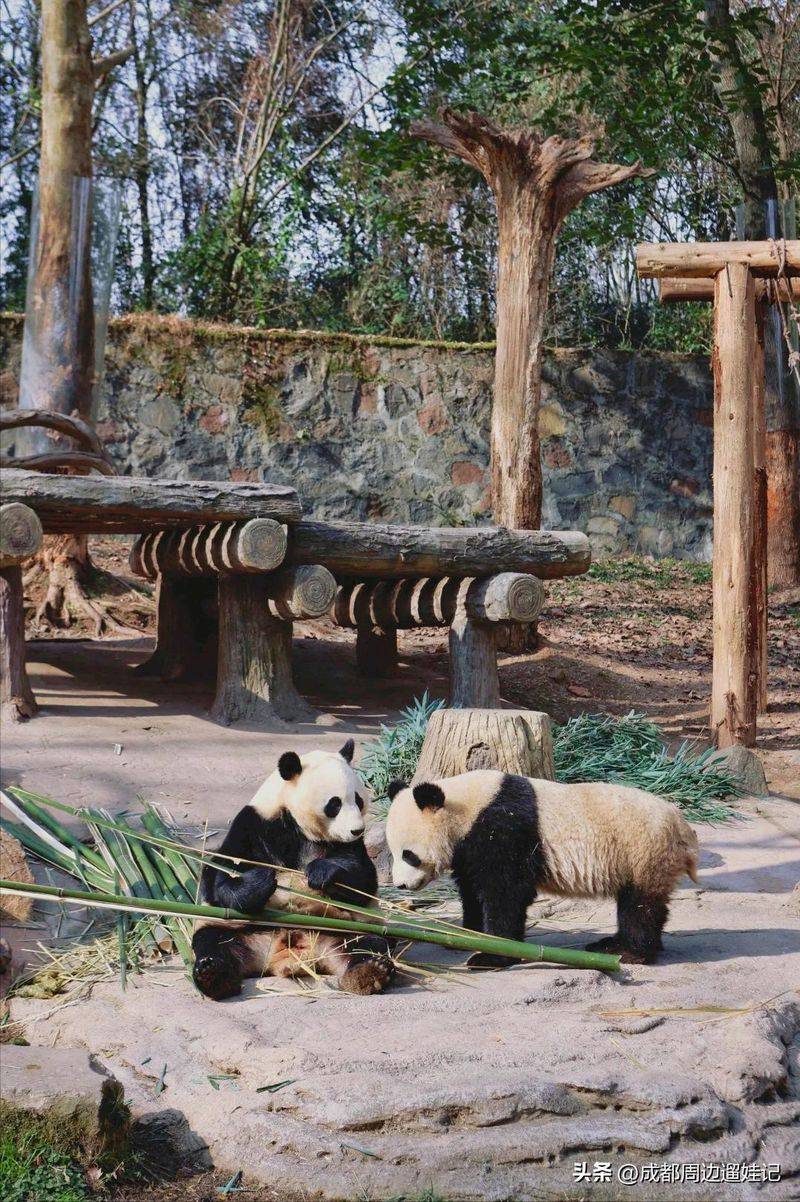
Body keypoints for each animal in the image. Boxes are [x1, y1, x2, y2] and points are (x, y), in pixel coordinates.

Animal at [192, 740, 394, 999]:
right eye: (335, 803)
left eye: (358, 799)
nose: (357, 830)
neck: (300, 827)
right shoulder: (255, 824)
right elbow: (221, 874)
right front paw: (262, 881)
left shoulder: (348, 846)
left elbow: (363, 879)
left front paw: (320, 873)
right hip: (237, 928)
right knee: (213, 942)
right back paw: (214, 976)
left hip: (347, 928)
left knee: (368, 944)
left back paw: (368, 973)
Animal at [385, 771, 699, 967]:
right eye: (393, 853)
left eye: (409, 855)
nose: (401, 885)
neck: (467, 806)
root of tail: (683, 827)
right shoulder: (468, 848)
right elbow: (471, 891)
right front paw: (467, 936)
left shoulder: (504, 830)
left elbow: (506, 893)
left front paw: (492, 955)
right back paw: (611, 945)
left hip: (643, 850)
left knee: (640, 906)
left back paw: (629, 952)